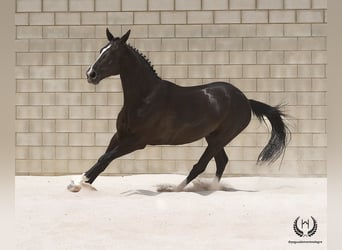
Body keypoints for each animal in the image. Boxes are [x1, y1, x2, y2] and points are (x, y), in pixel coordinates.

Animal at [68, 29, 290, 193]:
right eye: (101, 50)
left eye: (111, 54)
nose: (91, 74)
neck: (144, 98)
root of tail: (245, 100)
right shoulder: (120, 136)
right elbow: (104, 158)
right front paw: (81, 183)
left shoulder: (137, 141)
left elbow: (106, 158)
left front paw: (78, 183)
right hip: (213, 137)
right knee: (221, 161)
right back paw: (210, 187)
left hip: (220, 138)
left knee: (201, 165)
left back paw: (176, 188)